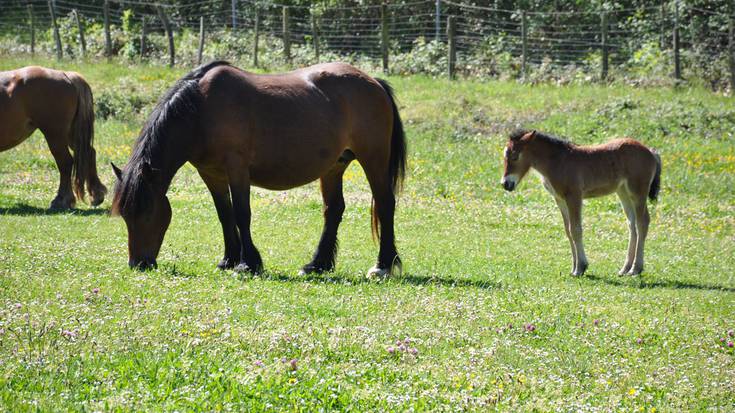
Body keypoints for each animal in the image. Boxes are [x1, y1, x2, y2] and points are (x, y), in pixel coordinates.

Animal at [0, 67, 107, 209]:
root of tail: (65, 75)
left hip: (55, 134)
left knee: (65, 162)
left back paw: (62, 200)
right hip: (70, 135)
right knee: (89, 153)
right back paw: (96, 195)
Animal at [504, 130, 664, 276]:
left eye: (515, 156)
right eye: (504, 156)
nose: (506, 184)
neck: (558, 161)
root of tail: (651, 152)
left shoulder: (574, 196)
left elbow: (576, 229)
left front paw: (580, 268)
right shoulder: (560, 199)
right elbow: (568, 230)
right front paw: (574, 267)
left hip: (638, 192)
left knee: (642, 222)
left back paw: (636, 269)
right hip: (623, 192)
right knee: (632, 224)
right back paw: (625, 268)